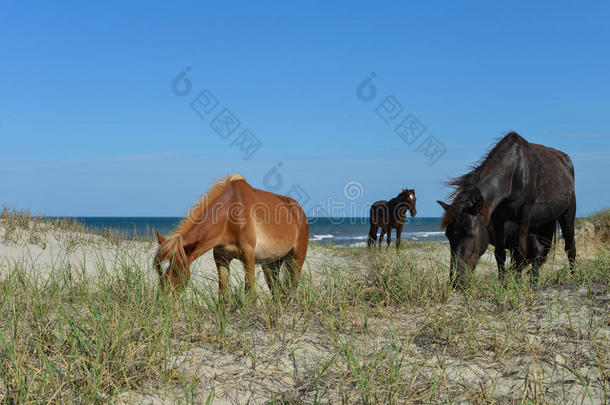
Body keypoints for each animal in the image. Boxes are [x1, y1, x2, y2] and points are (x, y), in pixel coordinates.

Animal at [154, 175, 308, 302]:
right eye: (162, 274)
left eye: (179, 274)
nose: (163, 301)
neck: (229, 215)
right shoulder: (221, 258)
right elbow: (222, 294)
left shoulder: (248, 257)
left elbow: (250, 293)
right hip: (271, 265)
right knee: (278, 293)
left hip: (296, 260)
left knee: (292, 289)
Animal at [434, 131, 572, 286]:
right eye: (448, 236)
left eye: (470, 234)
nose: (457, 281)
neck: (514, 173)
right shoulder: (498, 219)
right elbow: (500, 254)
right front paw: (503, 284)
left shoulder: (523, 217)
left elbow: (520, 253)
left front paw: (517, 285)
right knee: (540, 251)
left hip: (567, 212)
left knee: (569, 247)